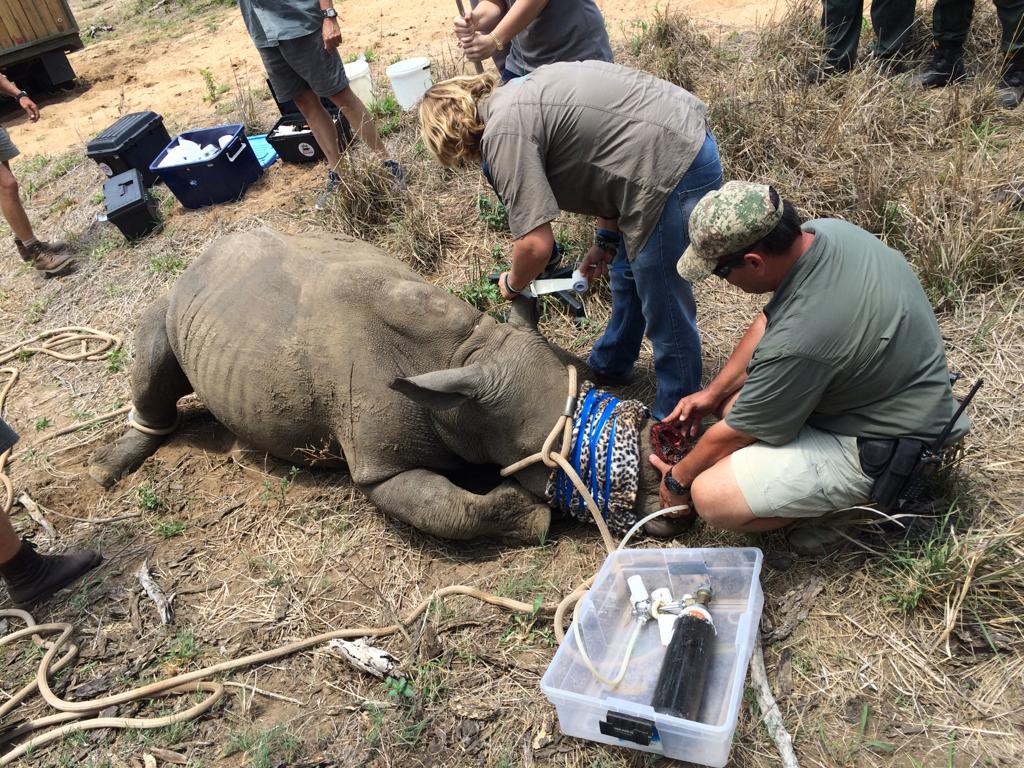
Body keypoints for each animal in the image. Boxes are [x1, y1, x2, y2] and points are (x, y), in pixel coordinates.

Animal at [89, 229, 682, 543]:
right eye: (556, 458)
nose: (666, 489)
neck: (465, 356)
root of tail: (202, 258)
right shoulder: (381, 467)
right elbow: (454, 510)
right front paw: (532, 515)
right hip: (174, 301)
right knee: (155, 345)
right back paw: (106, 471)